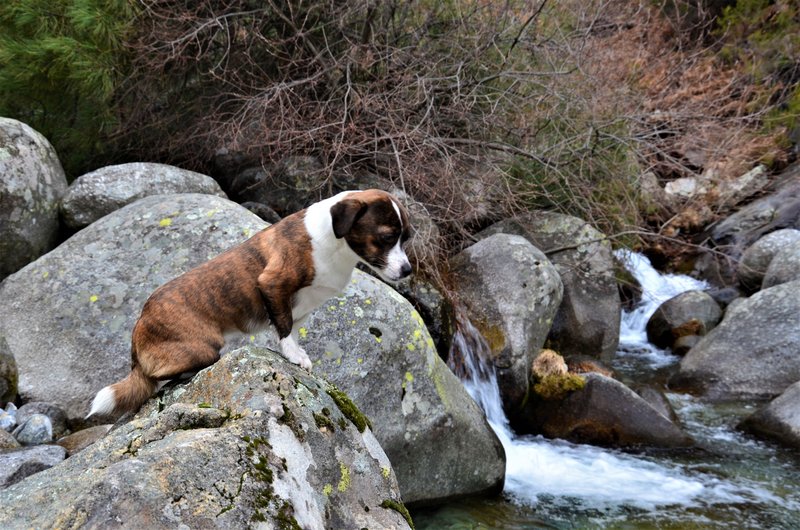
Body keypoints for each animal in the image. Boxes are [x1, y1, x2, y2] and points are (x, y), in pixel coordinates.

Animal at [88, 188, 412, 414]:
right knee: (157, 375)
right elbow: (284, 328)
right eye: (386, 238)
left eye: (405, 238)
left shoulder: (302, 308)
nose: (408, 270)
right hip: (204, 349)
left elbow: (292, 328)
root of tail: (140, 322)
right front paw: (293, 356)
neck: (332, 240)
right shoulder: (272, 284)